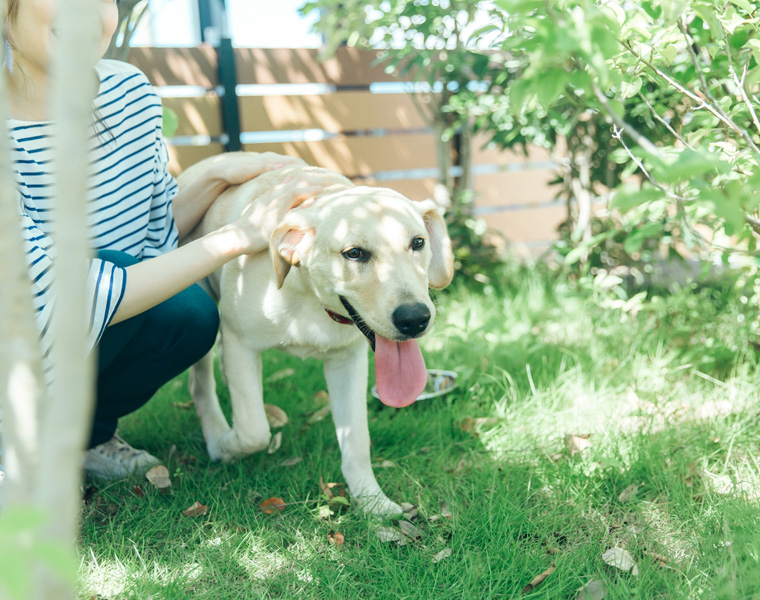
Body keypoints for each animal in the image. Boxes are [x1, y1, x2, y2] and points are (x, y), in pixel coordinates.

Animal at [178, 152, 452, 512]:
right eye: (354, 253)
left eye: (417, 243)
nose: (415, 319)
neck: (310, 296)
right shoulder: (238, 342)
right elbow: (254, 430)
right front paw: (227, 445)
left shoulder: (348, 362)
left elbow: (357, 441)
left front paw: (372, 502)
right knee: (200, 386)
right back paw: (215, 435)